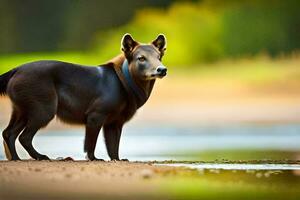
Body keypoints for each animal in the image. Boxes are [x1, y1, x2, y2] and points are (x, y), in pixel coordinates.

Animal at [0, 34, 168, 161]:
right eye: (141, 58)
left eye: (159, 57)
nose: (162, 69)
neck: (125, 81)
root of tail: (16, 69)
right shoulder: (96, 116)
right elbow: (90, 143)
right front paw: (94, 159)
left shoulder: (114, 123)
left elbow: (113, 146)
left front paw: (118, 160)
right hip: (43, 110)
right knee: (24, 137)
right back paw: (41, 157)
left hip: (21, 111)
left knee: (8, 133)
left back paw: (16, 158)